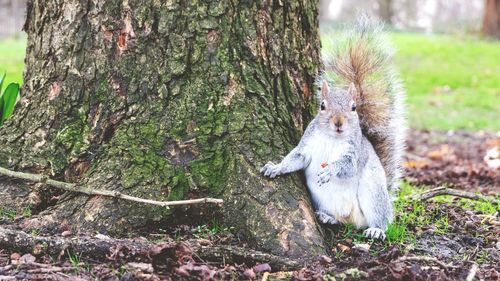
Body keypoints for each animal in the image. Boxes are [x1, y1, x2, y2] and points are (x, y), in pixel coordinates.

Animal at [262, 15, 406, 238]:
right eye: (322, 105)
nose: (338, 122)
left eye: (353, 107)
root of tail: (353, 218)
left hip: (373, 193)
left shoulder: (353, 152)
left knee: (380, 219)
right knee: (340, 220)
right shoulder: (307, 146)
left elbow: (347, 166)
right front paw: (276, 167)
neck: (332, 138)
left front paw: (330, 170)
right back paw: (327, 217)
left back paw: (376, 229)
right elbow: (295, 158)